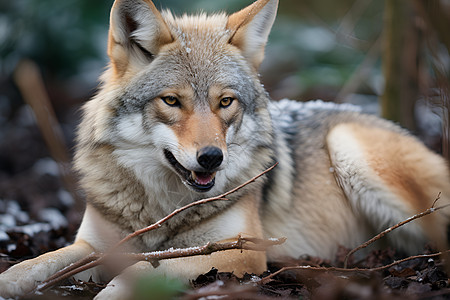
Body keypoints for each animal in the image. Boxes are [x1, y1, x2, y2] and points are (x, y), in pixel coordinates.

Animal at [0, 0, 450, 298]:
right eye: (172, 101)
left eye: (225, 102)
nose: (212, 157)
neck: (162, 208)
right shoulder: (92, 247)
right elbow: (34, 264)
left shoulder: (241, 254)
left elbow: (144, 268)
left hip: (349, 147)